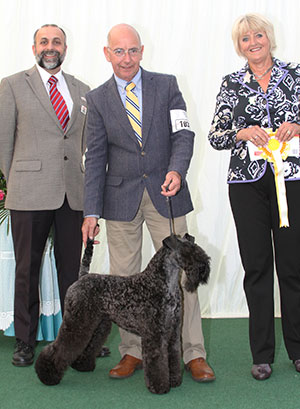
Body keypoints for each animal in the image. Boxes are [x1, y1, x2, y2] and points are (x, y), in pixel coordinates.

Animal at [34, 231, 209, 394]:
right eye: (186, 251)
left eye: (195, 247)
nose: (204, 267)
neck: (162, 283)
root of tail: (82, 277)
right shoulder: (155, 334)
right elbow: (157, 360)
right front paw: (159, 386)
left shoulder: (173, 331)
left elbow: (173, 356)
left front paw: (174, 380)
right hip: (77, 323)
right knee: (59, 347)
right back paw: (47, 375)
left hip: (97, 325)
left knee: (89, 344)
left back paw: (81, 365)